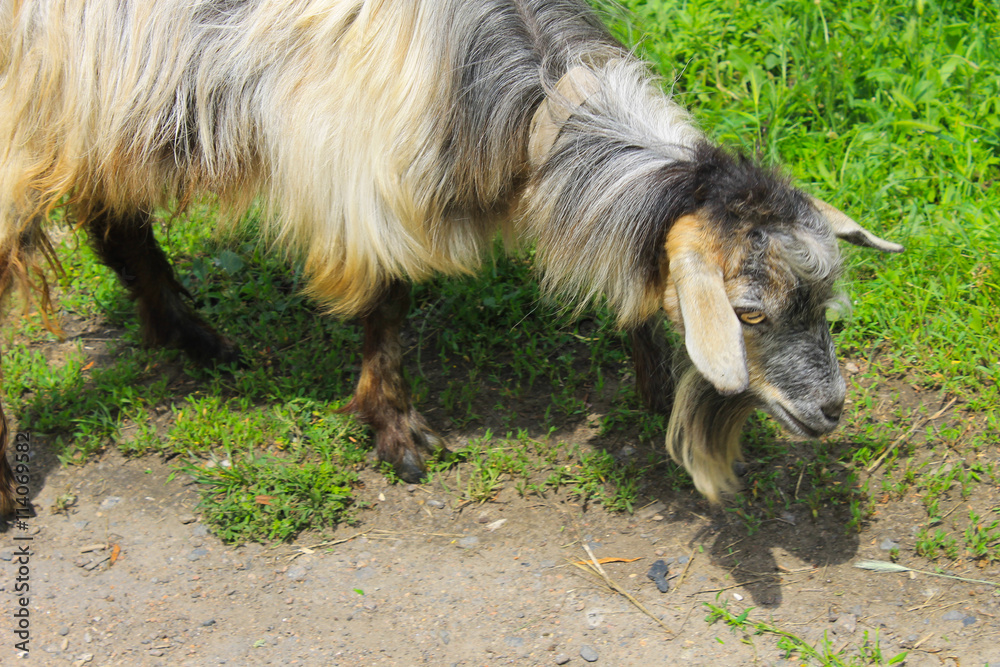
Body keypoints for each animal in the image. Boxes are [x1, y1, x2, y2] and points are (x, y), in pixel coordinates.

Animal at [0, 0, 904, 516]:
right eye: (748, 311)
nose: (830, 411)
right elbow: (387, 301)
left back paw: (195, 338)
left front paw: (648, 381)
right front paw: (398, 432)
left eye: (824, 304)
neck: (530, 97)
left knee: (115, 224)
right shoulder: (364, 176)